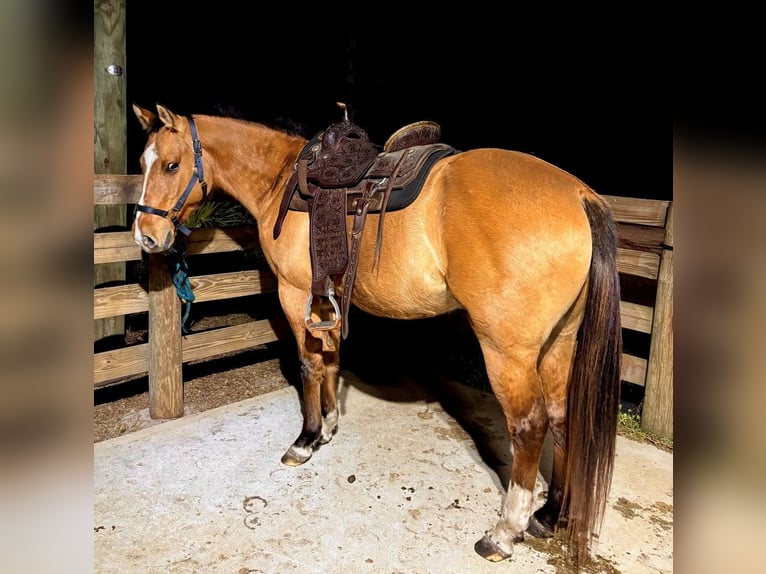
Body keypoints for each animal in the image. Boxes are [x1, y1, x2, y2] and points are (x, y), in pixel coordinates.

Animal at [130, 103, 622, 568]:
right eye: (143, 162)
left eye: (172, 165)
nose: (146, 236)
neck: (281, 181)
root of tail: (579, 194)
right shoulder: (322, 298)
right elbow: (329, 361)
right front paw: (328, 426)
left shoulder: (294, 293)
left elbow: (308, 365)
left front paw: (306, 439)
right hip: (560, 342)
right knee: (561, 415)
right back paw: (549, 515)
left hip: (507, 352)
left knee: (529, 426)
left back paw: (504, 532)